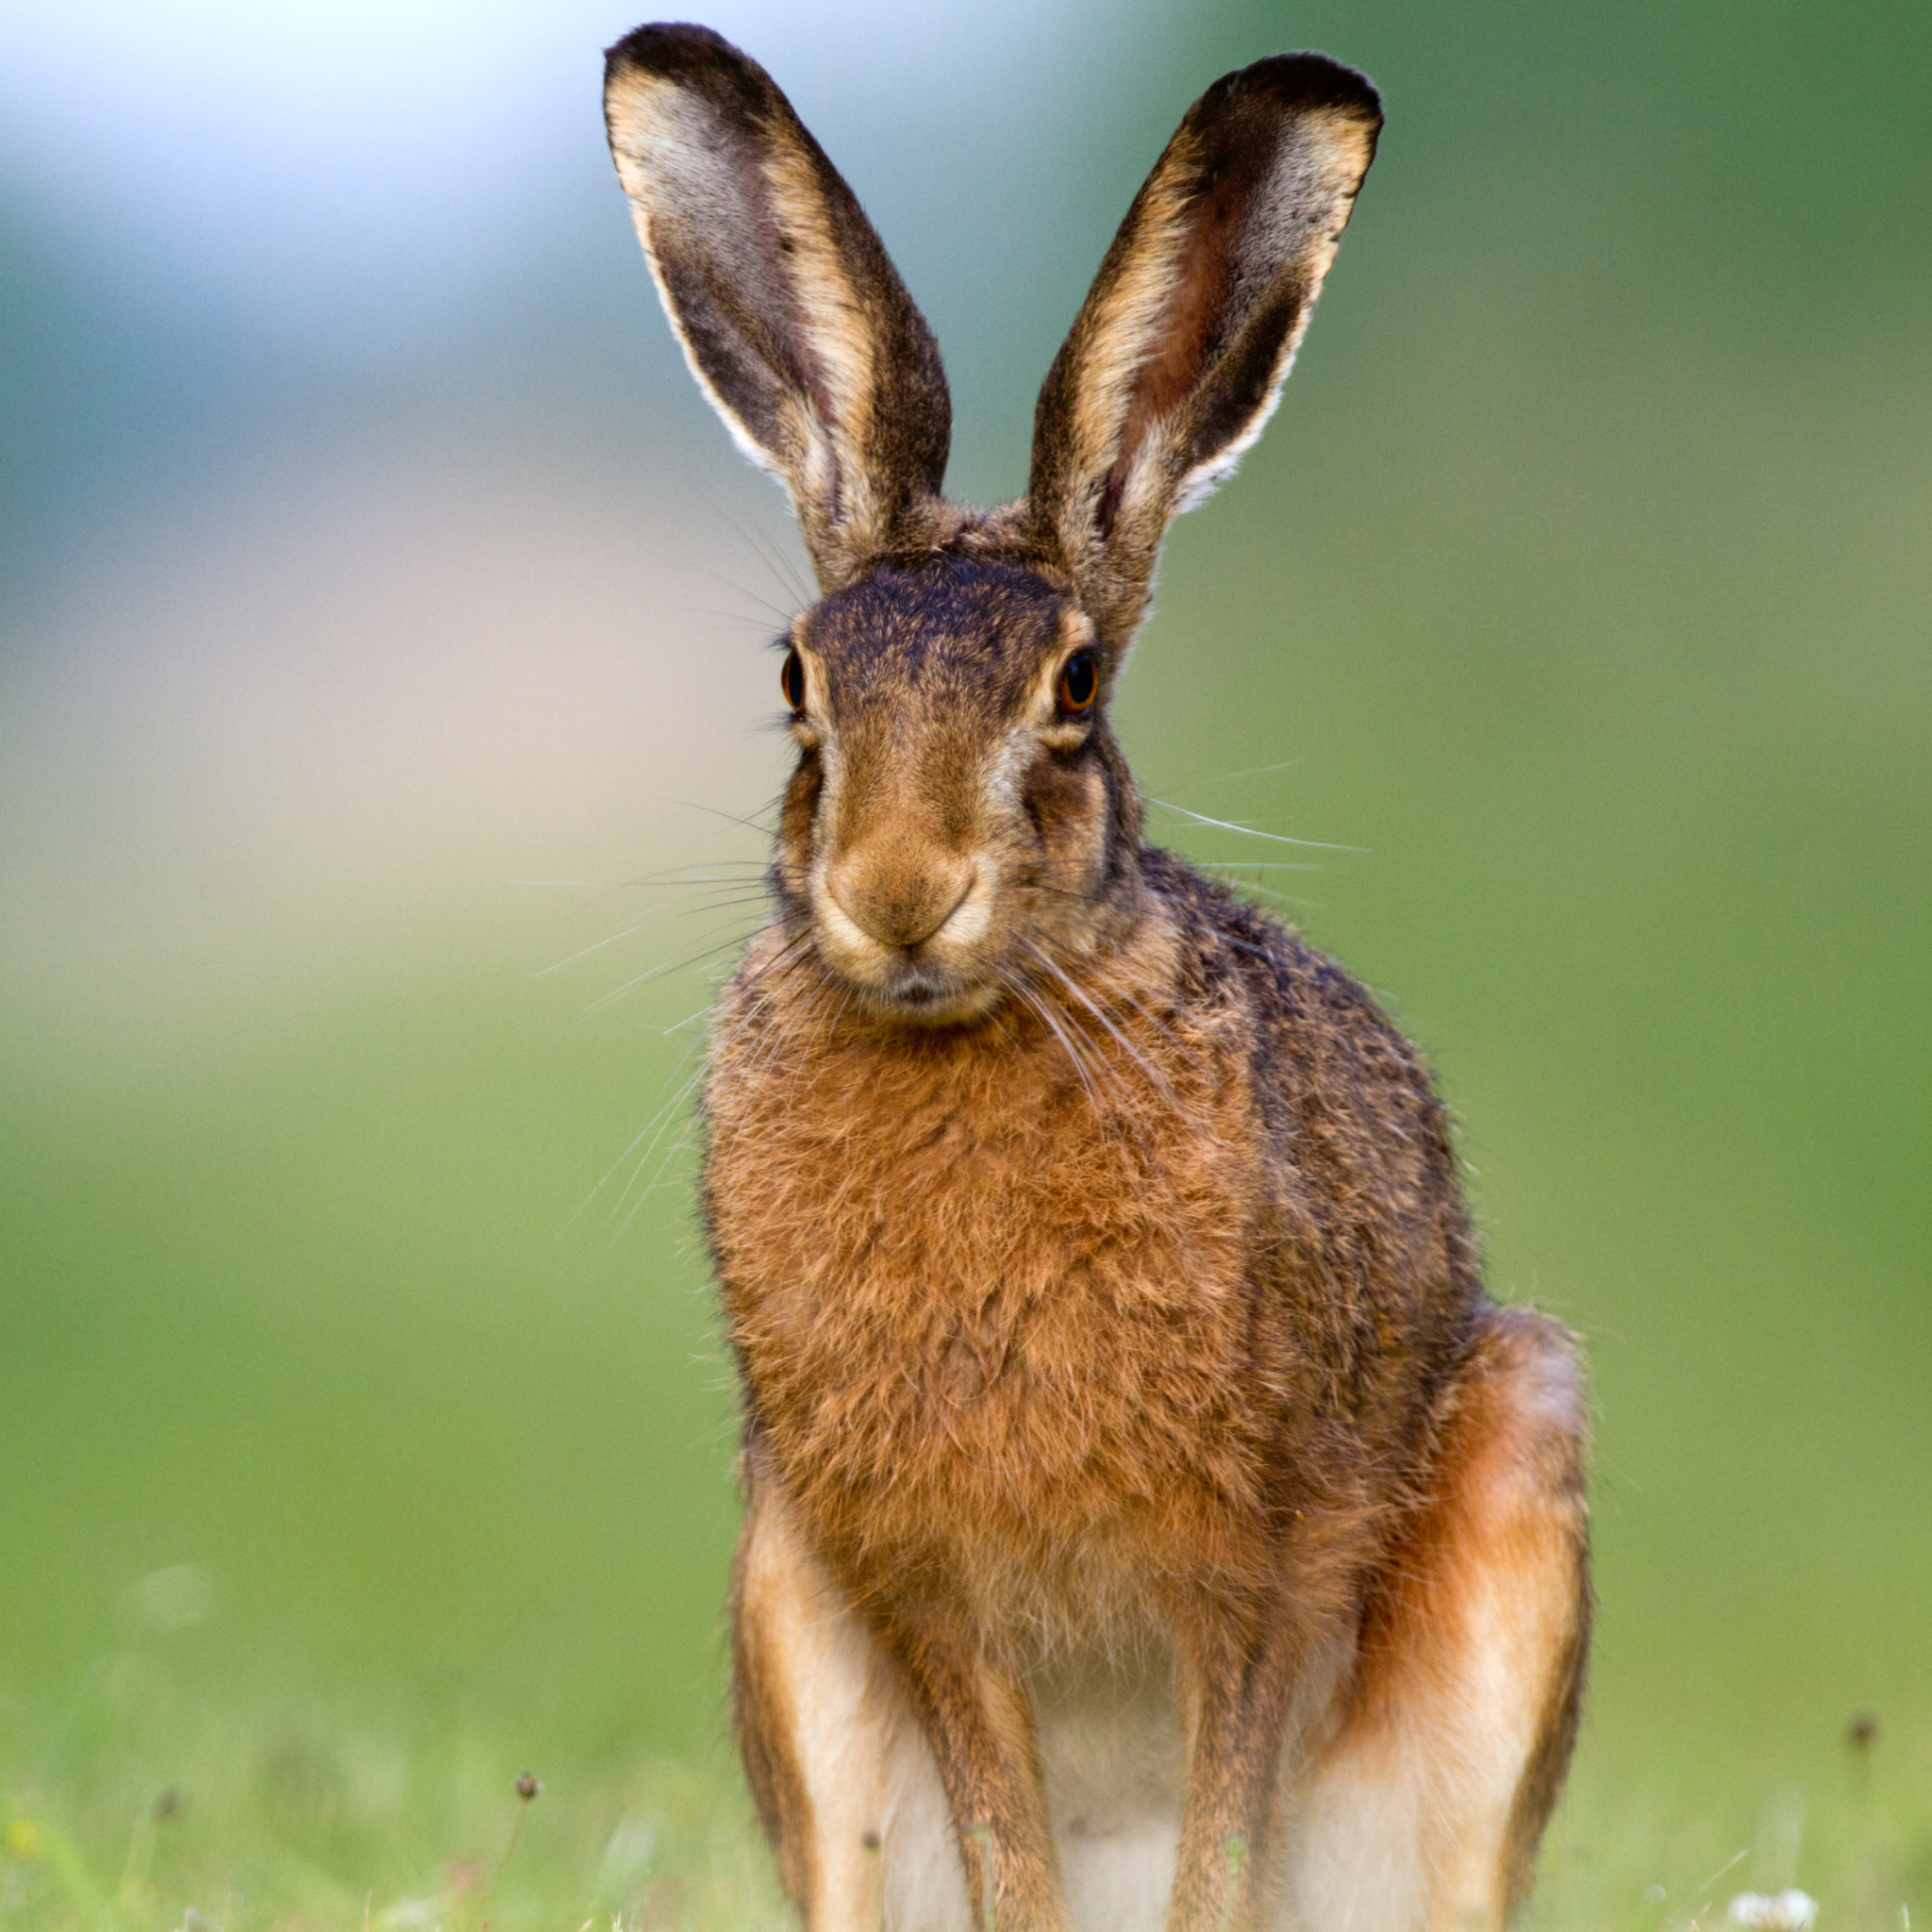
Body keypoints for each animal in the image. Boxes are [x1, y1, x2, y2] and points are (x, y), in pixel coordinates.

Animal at [603, 23, 1590, 1932]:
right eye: (795, 682)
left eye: (1069, 687)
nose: (898, 892)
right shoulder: (914, 1583)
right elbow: (1007, 1842)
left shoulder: (1266, 1560)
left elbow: (1226, 1832)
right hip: (788, 1608)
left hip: (1517, 1473)